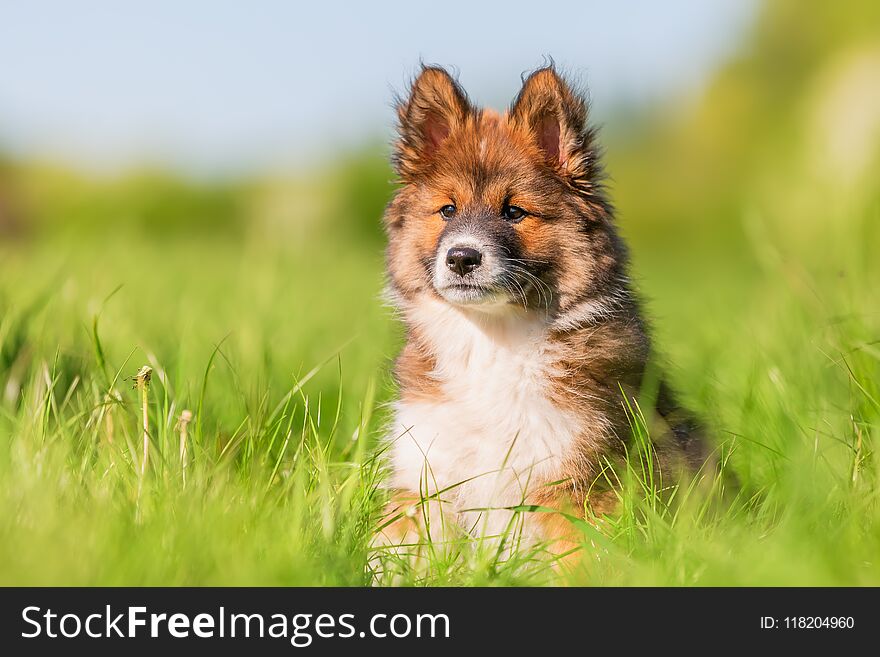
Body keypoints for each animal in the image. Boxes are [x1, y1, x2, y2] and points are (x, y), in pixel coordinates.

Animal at [374, 65, 704, 560]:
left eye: (515, 212)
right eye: (447, 210)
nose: (461, 258)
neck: (492, 340)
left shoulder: (576, 484)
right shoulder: (425, 473)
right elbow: (394, 550)